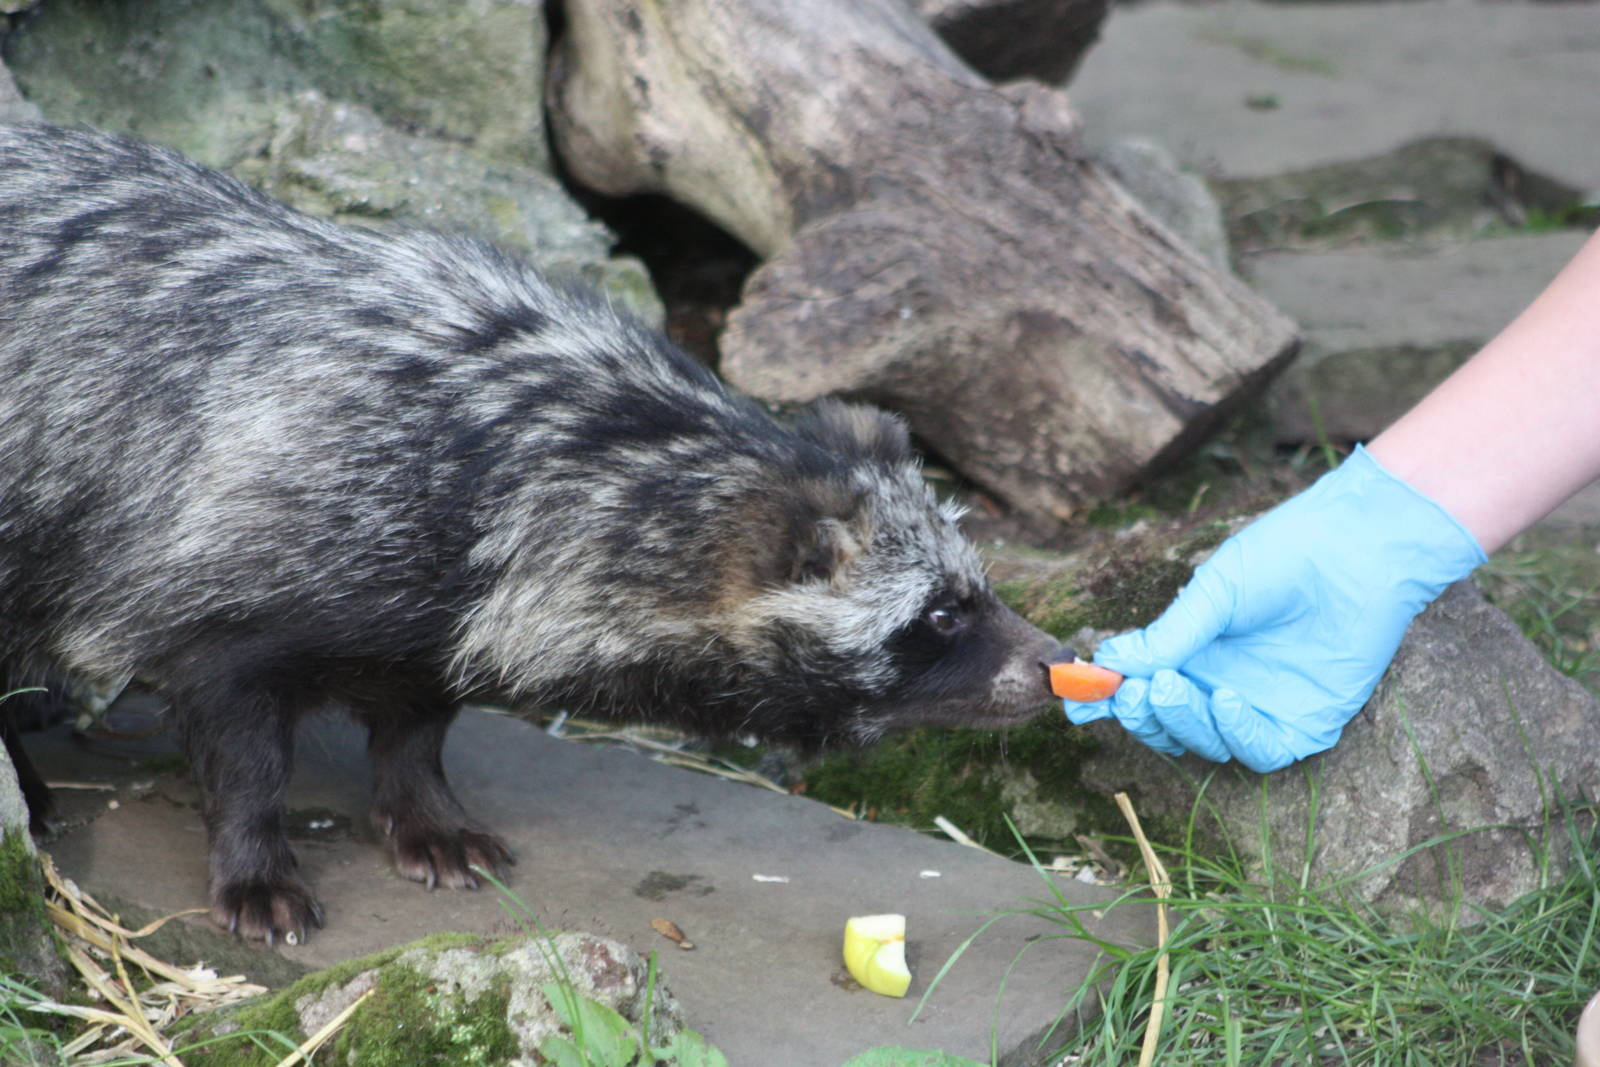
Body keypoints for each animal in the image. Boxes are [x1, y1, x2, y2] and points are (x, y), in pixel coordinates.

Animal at [0, 125, 1063, 943]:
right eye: (941, 615)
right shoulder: (235, 561)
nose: (1055, 666)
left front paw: (425, 810)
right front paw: (255, 862)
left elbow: (416, 718)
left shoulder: (438, 603)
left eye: (976, 587)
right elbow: (240, 738)